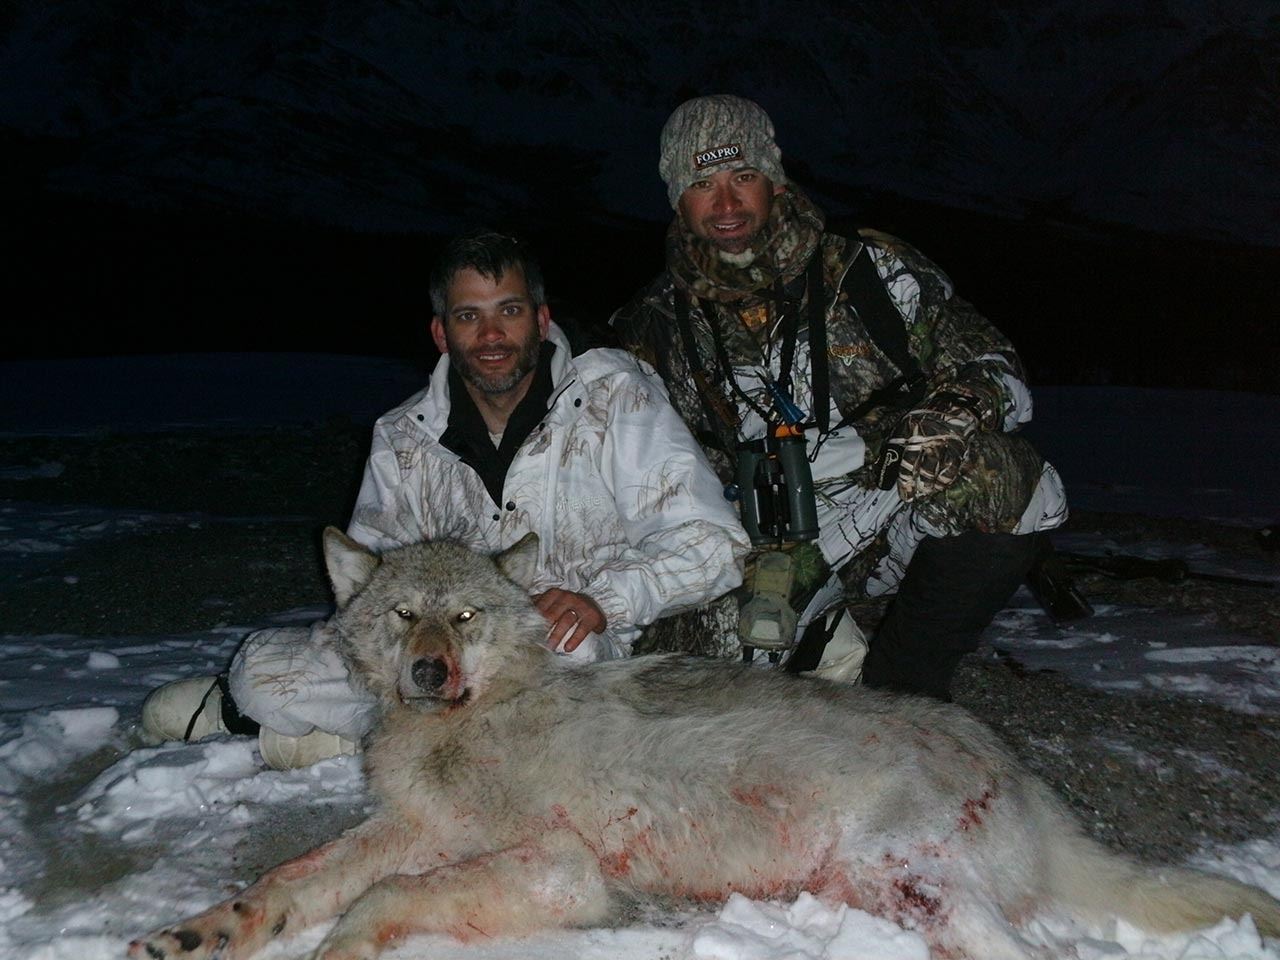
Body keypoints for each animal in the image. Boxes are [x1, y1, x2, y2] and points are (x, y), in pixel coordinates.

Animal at [130, 528, 1280, 960]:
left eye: (462, 619)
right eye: (404, 615)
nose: (427, 674)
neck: (467, 726)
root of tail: (1017, 771)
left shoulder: (560, 872)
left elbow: (372, 900)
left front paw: (339, 947)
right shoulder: (410, 827)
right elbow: (290, 879)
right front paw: (201, 931)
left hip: (907, 883)